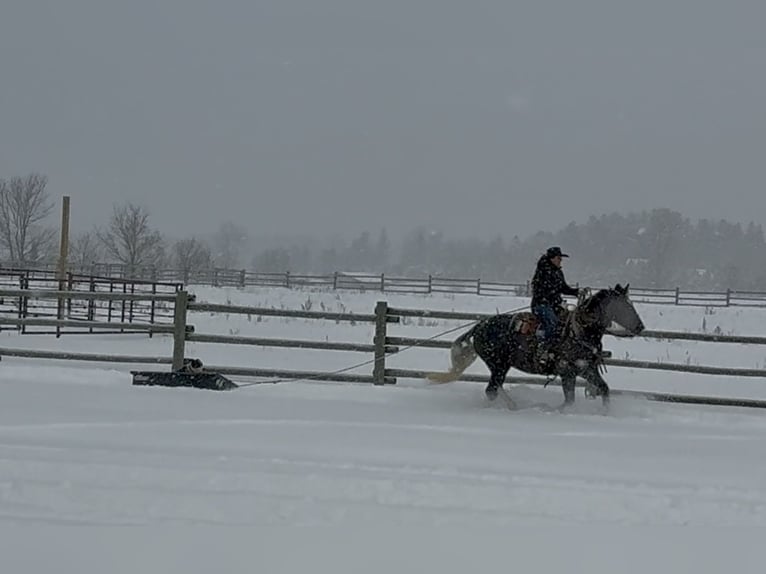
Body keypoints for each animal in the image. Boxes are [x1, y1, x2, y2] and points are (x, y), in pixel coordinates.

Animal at [426, 284, 645, 409]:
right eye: (625, 306)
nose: (640, 327)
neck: (579, 331)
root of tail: (479, 326)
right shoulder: (567, 372)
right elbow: (569, 400)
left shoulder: (586, 368)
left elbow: (604, 389)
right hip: (498, 365)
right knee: (492, 390)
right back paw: (514, 406)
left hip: (499, 366)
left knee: (494, 388)